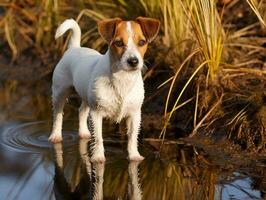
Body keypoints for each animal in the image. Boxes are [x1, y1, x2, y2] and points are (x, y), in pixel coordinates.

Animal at [48, 16, 160, 162]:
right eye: (118, 43)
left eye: (142, 42)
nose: (133, 61)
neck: (122, 79)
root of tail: (74, 47)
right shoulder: (96, 114)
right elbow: (98, 138)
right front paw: (98, 157)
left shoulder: (135, 114)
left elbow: (132, 137)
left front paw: (134, 156)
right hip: (60, 93)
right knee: (57, 115)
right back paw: (55, 135)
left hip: (87, 97)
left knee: (82, 111)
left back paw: (83, 132)